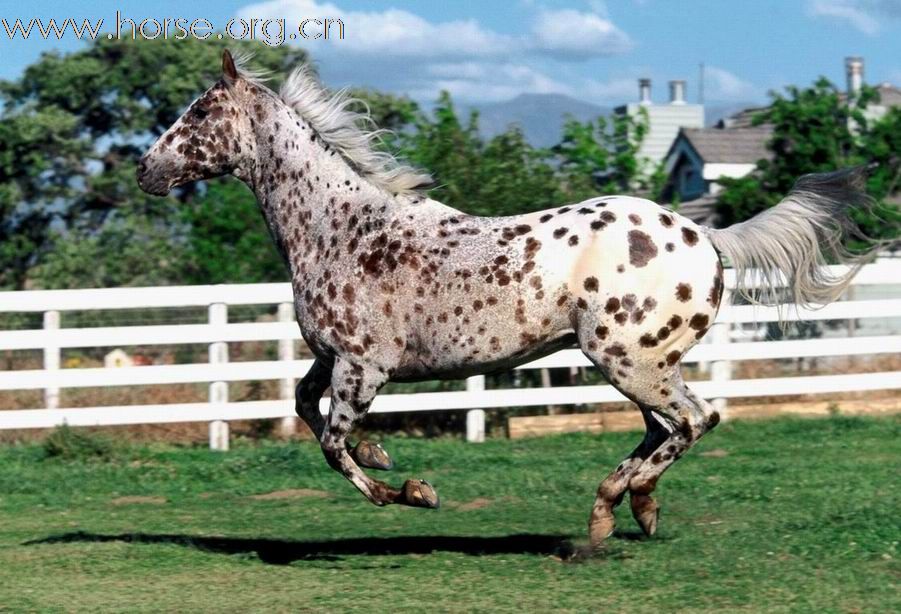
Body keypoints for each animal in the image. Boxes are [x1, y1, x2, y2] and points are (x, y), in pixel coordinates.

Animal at [139, 53, 872, 552]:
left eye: (199, 112)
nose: (145, 169)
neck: (340, 228)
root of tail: (704, 236)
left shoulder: (362, 368)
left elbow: (331, 443)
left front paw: (413, 490)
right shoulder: (330, 359)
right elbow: (303, 408)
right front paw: (384, 458)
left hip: (629, 361)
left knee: (694, 420)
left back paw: (620, 505)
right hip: (639, 364)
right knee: (664, 429)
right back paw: (624, 509)